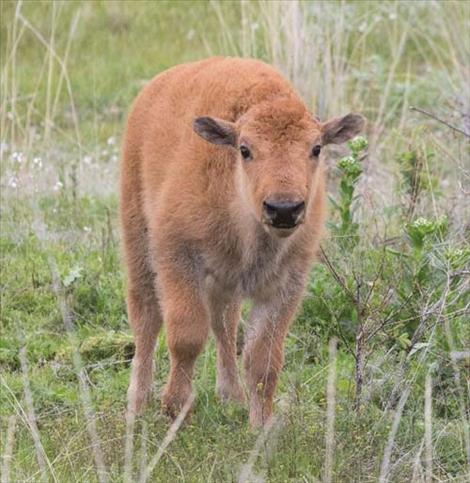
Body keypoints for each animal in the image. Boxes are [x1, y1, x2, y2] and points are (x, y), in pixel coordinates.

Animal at [120, 56, 364, 428]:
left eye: (316, 148)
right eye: (245, 149)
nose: (283, 209)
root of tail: (155, 87)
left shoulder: (287, 282)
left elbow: (264, 357)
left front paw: (260, 426)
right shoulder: (178, 258)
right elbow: (186, 336)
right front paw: (175, 407)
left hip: (224, 281)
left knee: (224, 324)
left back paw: (231, 395)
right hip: (138, 241)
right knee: (146, 316)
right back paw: (137, 403)